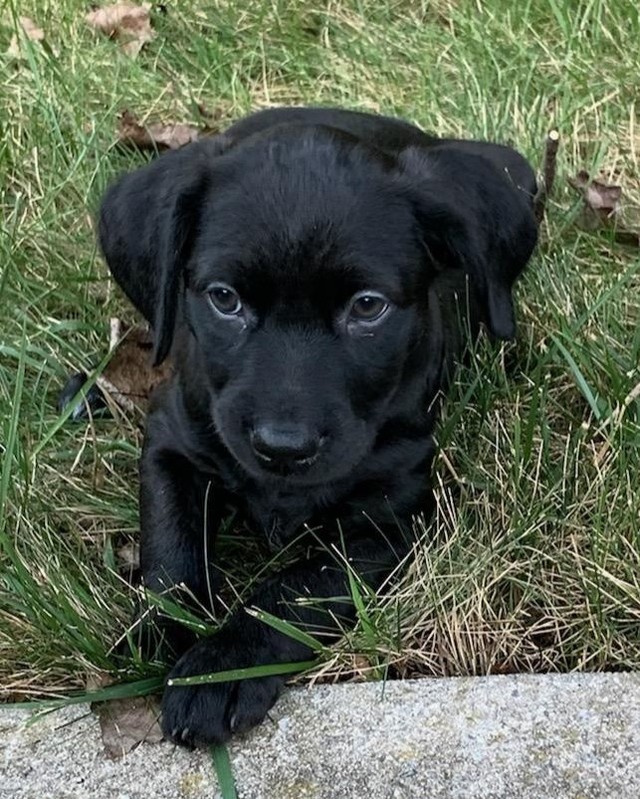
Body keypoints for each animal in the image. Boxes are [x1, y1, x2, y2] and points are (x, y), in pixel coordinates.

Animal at [97, 104, 536, 744]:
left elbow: (298, 586)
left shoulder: (393, 520)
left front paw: (223, 665)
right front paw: (163, 632)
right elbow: (169, 546)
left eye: (368, 307)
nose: (284, 447)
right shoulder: (172, 440)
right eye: (224, 298)